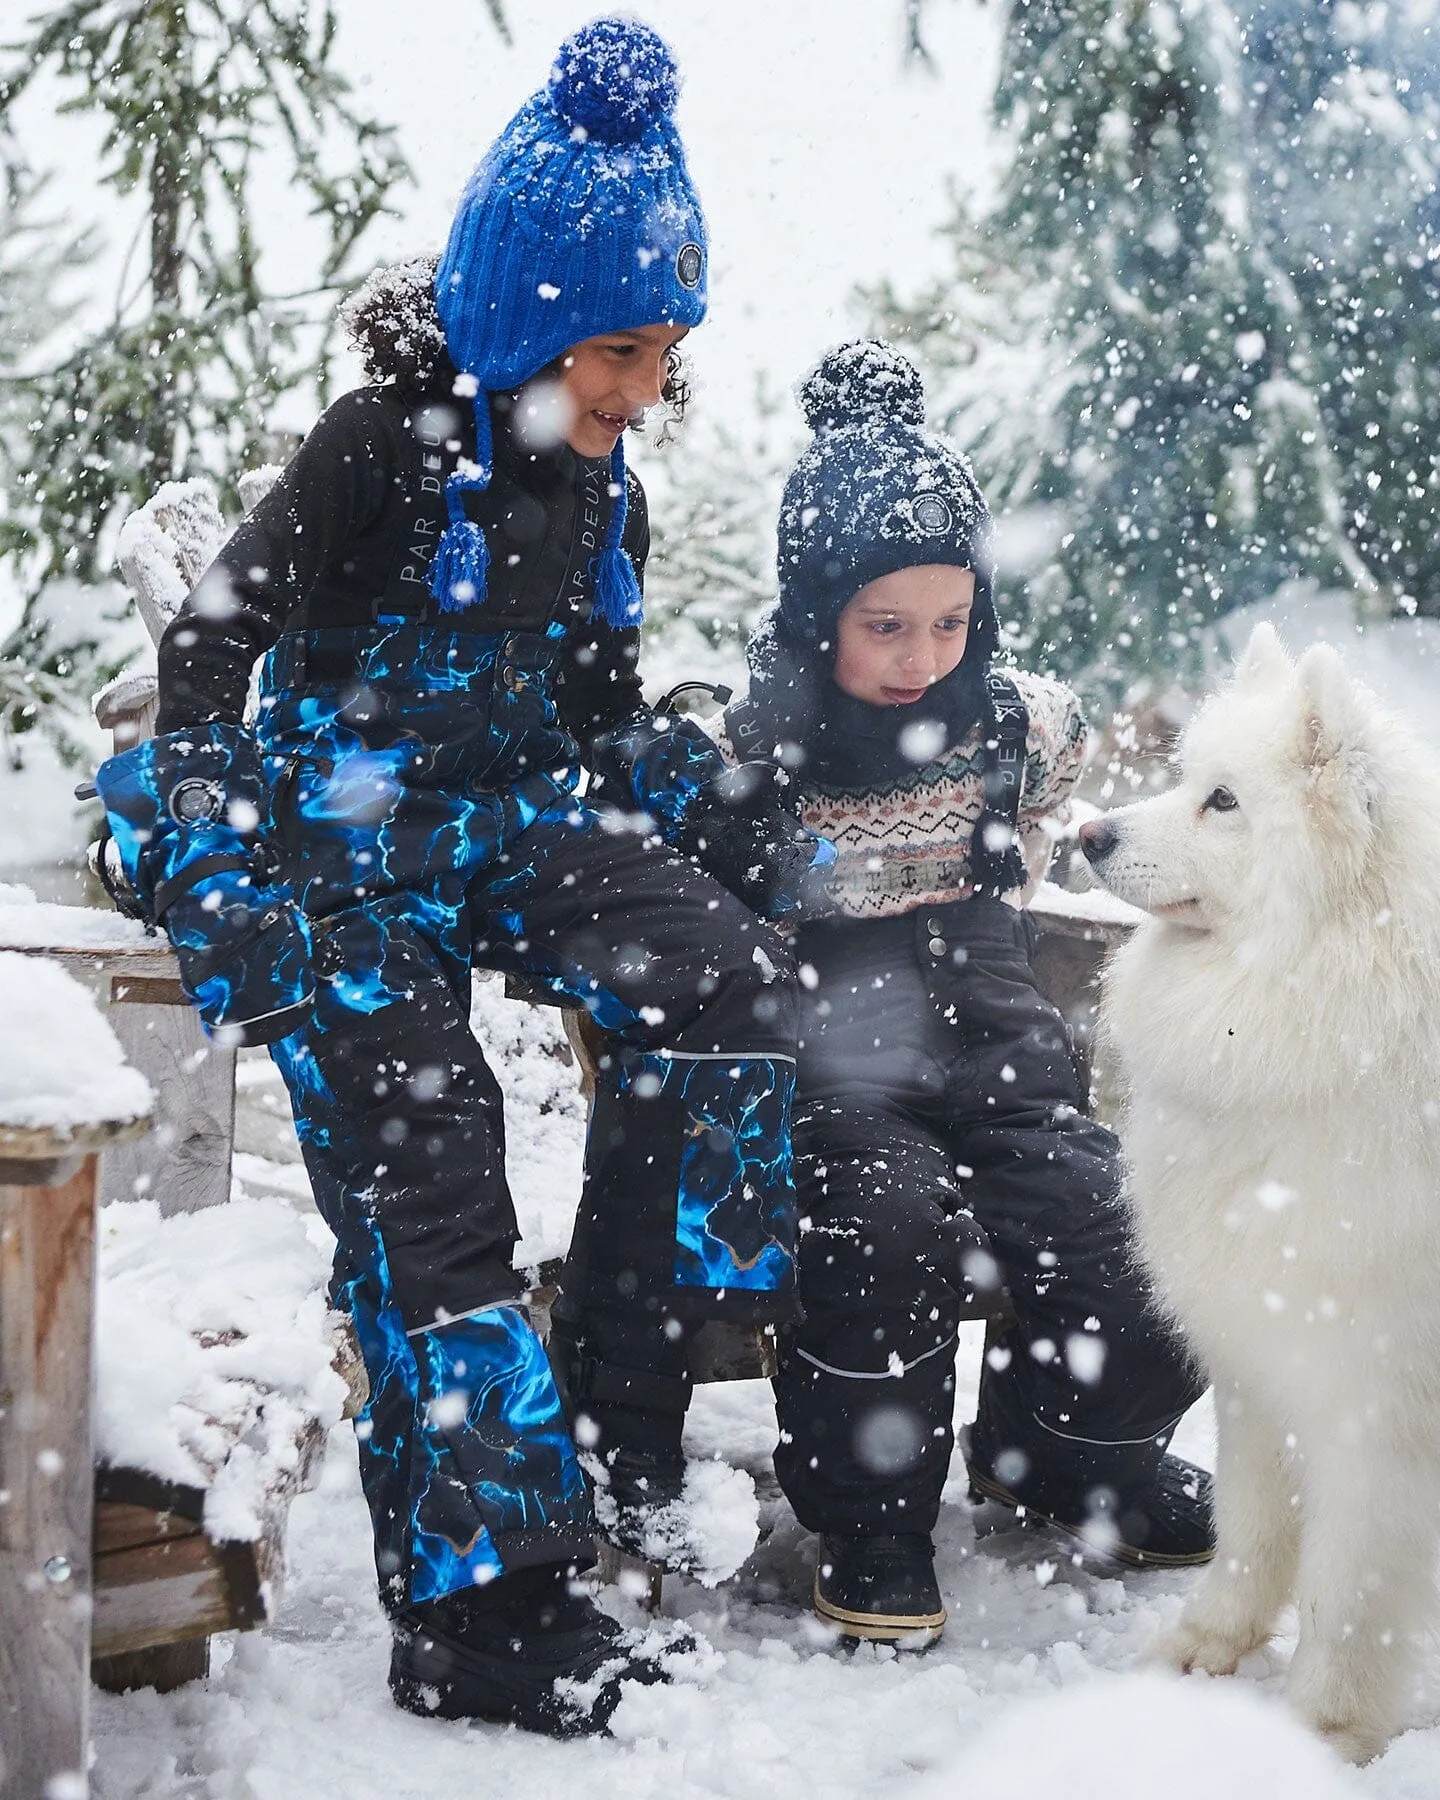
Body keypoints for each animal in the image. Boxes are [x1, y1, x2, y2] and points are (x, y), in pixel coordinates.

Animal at [1087, 626, 1440, 1764]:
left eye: (1224, 802)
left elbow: (1347, 1593)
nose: (1089, 832)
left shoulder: (1375, 1408)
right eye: (1186, 775)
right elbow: (1248, 1530)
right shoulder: (1259, 1356)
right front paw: (1207, 1649)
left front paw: (1322, 1733)